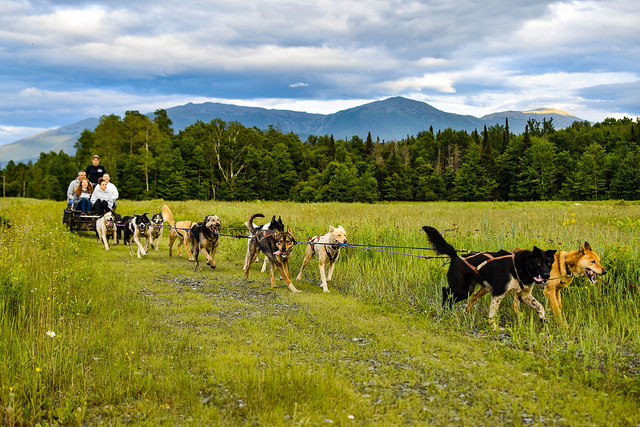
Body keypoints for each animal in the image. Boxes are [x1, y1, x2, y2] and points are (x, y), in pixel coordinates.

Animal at [424, 226, 556, 330]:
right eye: (539, 264)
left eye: (549, 264)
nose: (547, 275)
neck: (520, 266)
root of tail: (456, 256)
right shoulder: (498, 294)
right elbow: (493, 314)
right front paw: (494, 327)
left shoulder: (525, 295)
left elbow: (539, 306)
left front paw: (543, 318)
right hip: (462, 290)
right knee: (445, 292)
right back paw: (446, 311)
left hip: (467, 290)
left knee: (449, 294)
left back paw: (448, 312)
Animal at [464, 241, 604, 328]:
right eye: (593, 261)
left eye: (599, 261)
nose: (605, 271)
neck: (564, 264)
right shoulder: (549, 291)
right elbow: (557, 311)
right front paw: (564, 326)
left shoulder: (557, 291)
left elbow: (558, 307)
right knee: (478, 297)